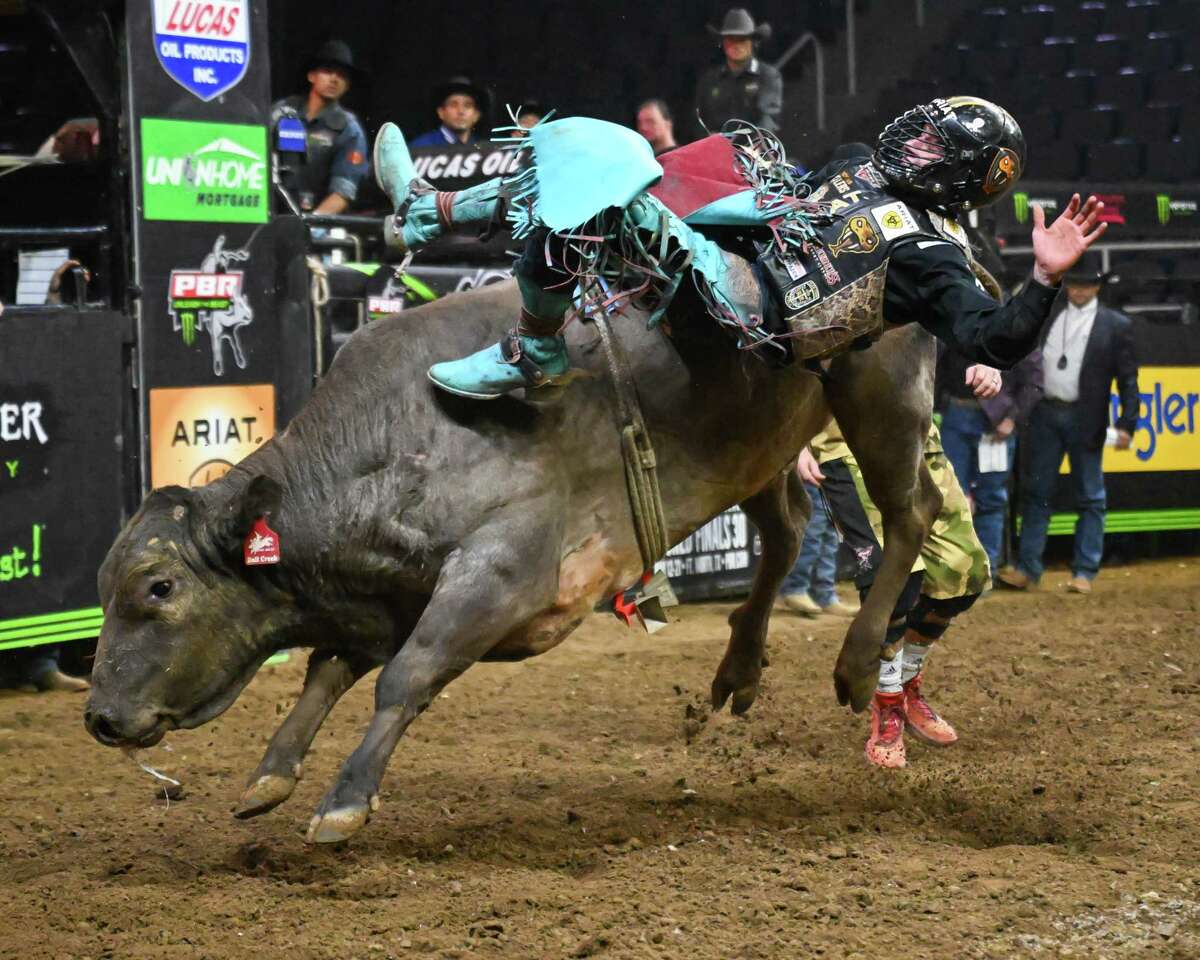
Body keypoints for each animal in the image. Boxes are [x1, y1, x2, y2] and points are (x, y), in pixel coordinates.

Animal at [88, 283, 940, 840]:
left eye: (158, 587)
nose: (99, 717)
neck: (387, 447)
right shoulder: (384, 594)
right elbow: (327, 672)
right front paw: (271, 773)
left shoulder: (502, 574)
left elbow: (405, 676)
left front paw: (344, 802)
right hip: (758, 446)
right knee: (788, 530)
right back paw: (739, 668)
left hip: (880, 392)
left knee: (911, 514)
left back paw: (858, 660)